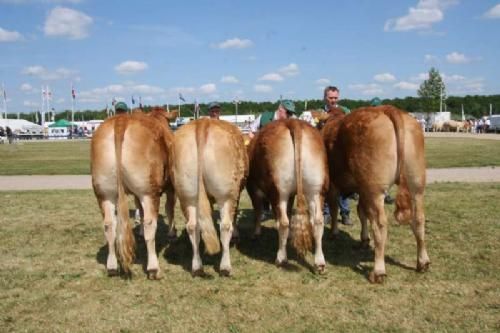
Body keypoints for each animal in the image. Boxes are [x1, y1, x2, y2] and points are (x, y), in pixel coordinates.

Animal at [91, 106, 177, 278]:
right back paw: (153, 268)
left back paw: (112, 267)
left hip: (103, 193)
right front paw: (172, 232)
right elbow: (169, 209)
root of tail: (121, 121)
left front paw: (141, 232)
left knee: (109, 225)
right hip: (149, 191)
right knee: (151, 223)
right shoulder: (170, 187)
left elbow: (140, 211)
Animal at [173, 118, 249, 274]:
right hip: (226, 195)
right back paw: (225, 266)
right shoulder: (237, 193)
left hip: (187, 195)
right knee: (225, 226)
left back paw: (197, 266)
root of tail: (203, 123)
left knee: (193, 226)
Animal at [247, 118, 332, 272]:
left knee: (283, 223)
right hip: (316, 190)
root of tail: (293, 122)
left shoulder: (253, 189)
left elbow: (258, 212)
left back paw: (281, 258)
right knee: (317, 221)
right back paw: (319, 263)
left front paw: (256, 233)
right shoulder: (292, 194)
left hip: (279, 192)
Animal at [322, 105, 432, 282]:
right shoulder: (362, 188)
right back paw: (423, 262)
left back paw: (378, 271)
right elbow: (362, 212)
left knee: (380, 224)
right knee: (419, 219)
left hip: (375, 189)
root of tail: (388, 109)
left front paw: (333, 233)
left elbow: (334, 209)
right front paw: (364, 240)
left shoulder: (334, 185)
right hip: (416, 184)